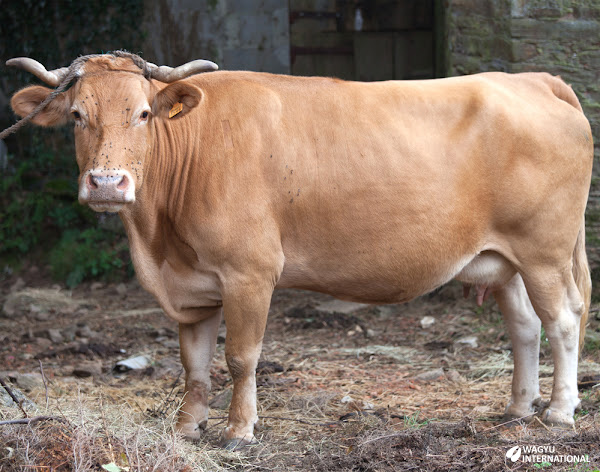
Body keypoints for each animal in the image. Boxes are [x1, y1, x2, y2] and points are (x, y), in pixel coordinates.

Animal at [7, 53, 592, 448]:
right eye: (77, 115)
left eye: (144, 113)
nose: (107, 183)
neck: (158, 240)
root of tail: (531, 79)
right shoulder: (192, 286)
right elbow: (194, 362)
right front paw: (187, 427)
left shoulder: (249, 271)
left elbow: (240, 357)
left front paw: (239, 430)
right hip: (506, 261)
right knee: (525, 326)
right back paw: (517, 407)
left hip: (544, 251)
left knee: (563, 319)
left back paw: (560, 410)